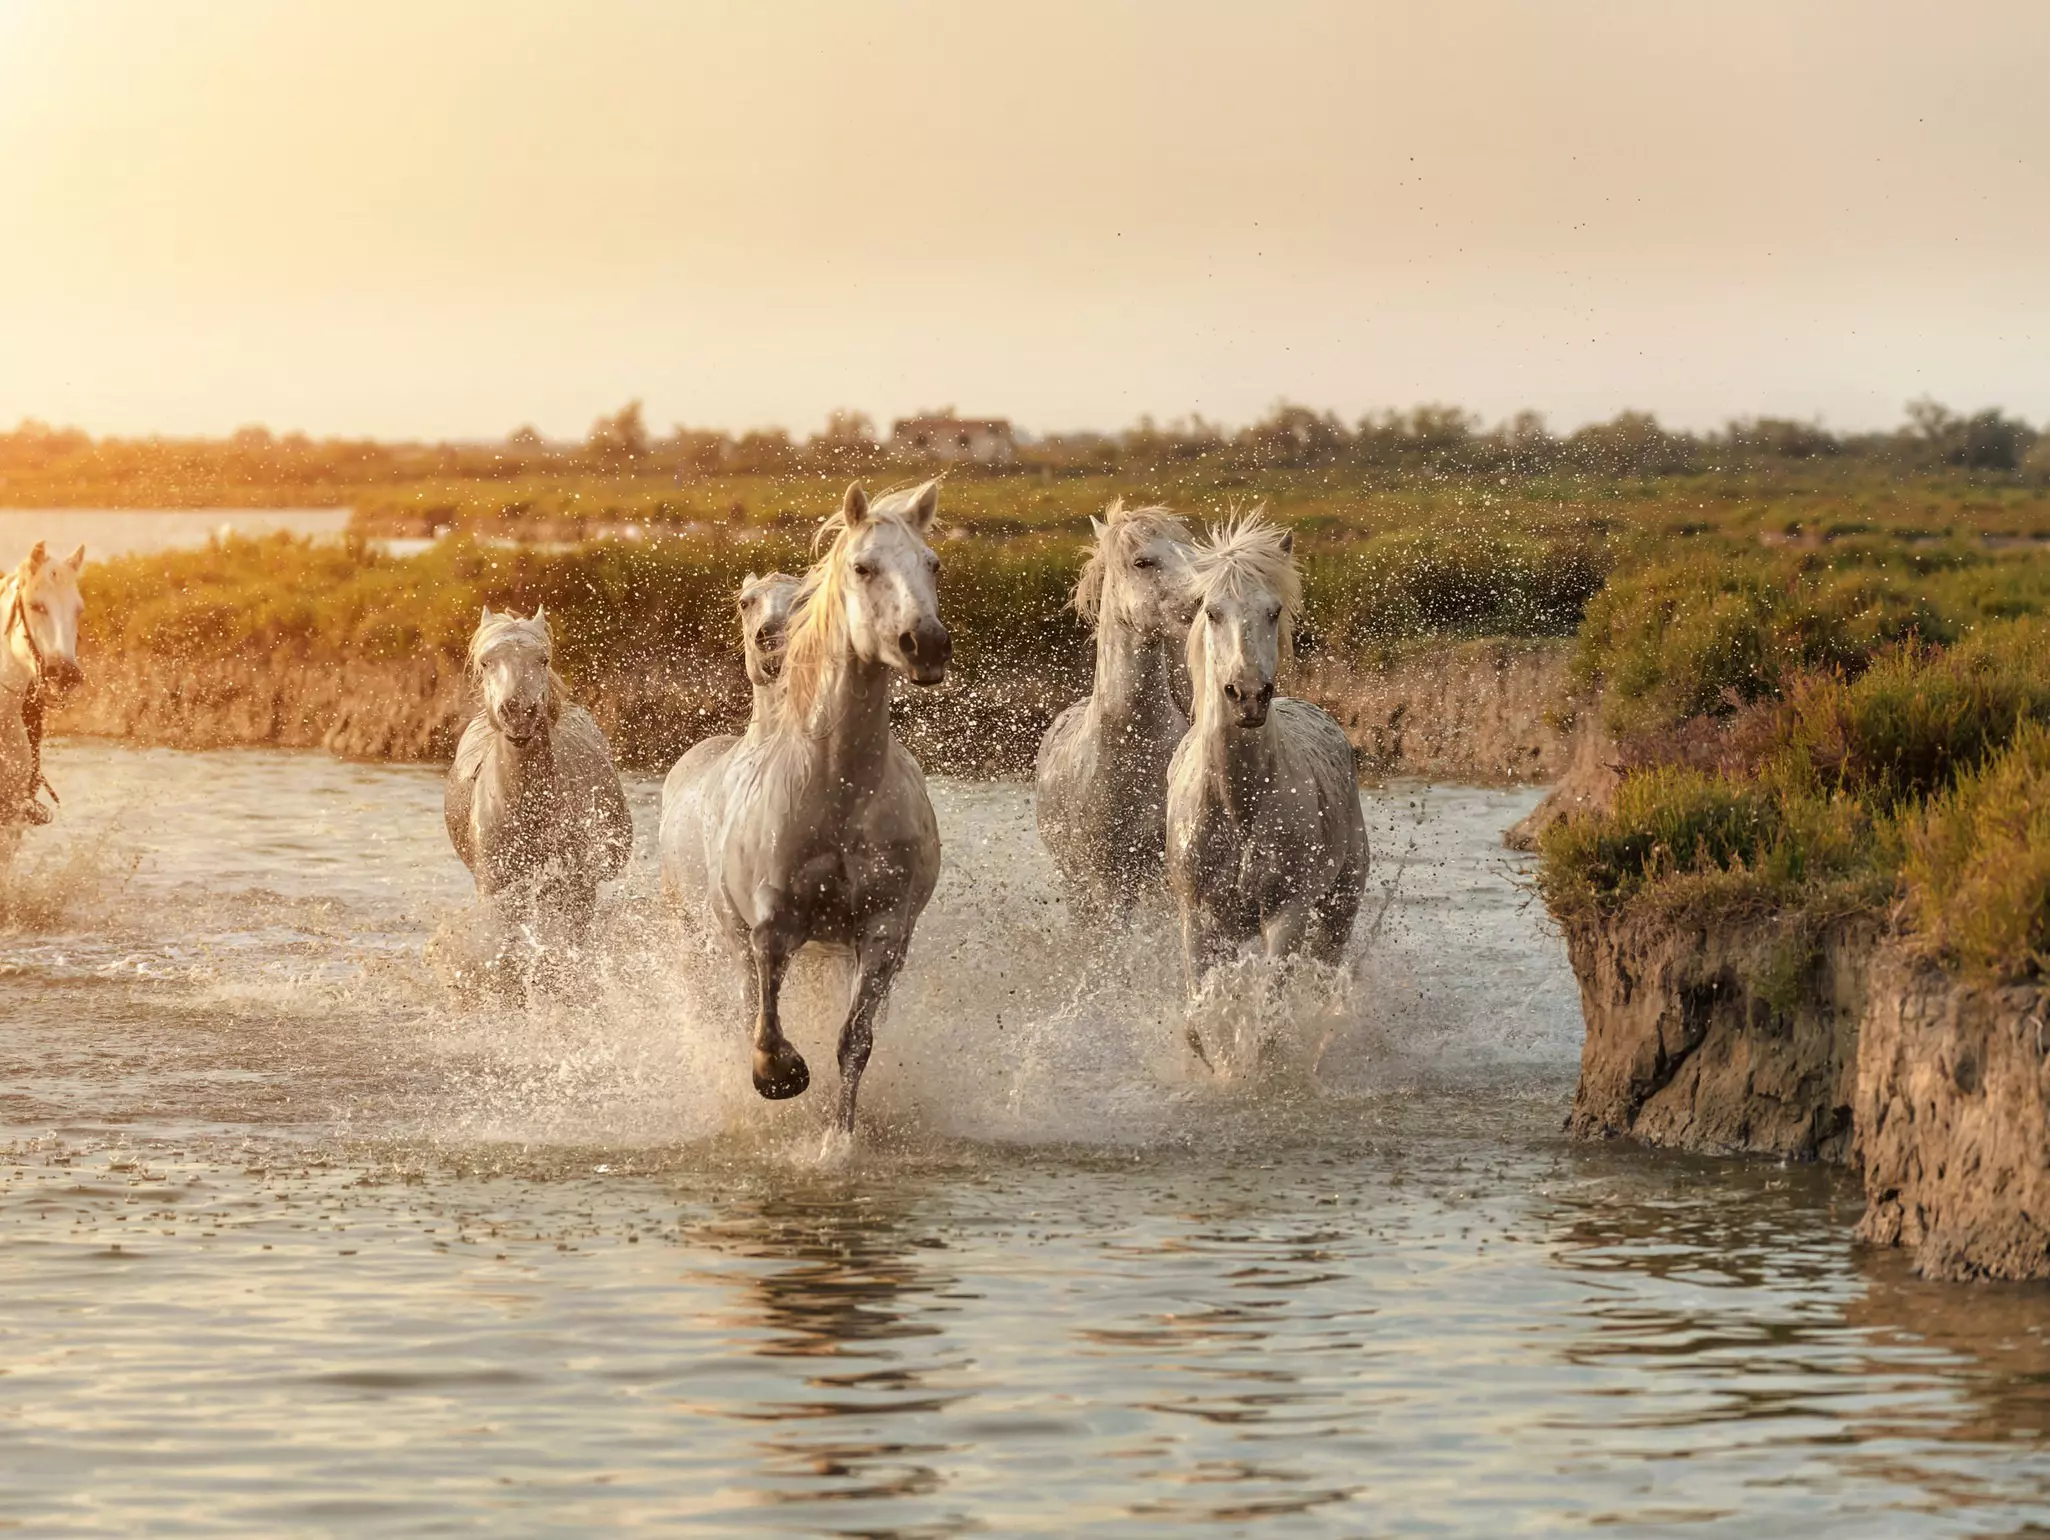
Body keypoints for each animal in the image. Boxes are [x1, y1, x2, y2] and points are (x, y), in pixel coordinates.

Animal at [444, 607, 634, 984]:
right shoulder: (498, 889)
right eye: (486, 662)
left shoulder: (575, 887)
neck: (527, 806)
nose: (518, 712)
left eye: (543, 659)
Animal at [660, 481, 949, 1136]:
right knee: (743, 1003)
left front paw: (838, 1137)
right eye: (863, 567)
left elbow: (854, 1042)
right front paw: (781, 1077)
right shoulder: (772, 922)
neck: (837, 793)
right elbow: (766, 1030)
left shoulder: (884, 930)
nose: (927, 645)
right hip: (720, 930)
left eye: (932, 564)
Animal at [1165, 511, 1369, 998]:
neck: (1238, 804)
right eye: (1211, 611)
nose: (1249, 697)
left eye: (1273, 611)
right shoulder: (1199, 922)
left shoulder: (1286, 914)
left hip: (1340, 906)